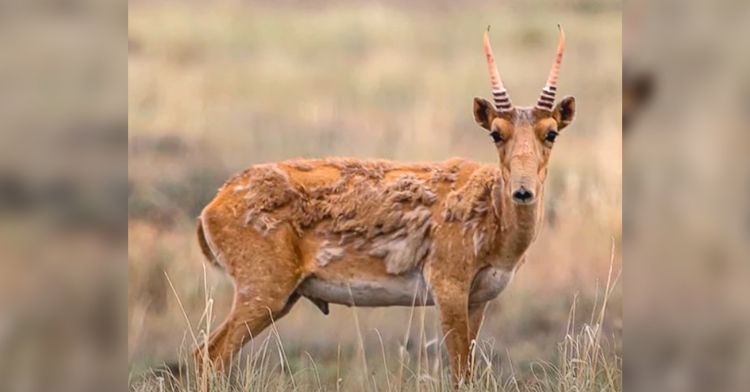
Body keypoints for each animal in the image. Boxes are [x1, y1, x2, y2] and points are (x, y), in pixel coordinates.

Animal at [170, 26, 580, 388]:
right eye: (496, 132)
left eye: (551, 132)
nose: (523, 192)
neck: (493, 220)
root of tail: (211, 207)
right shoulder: (447, 287)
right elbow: (460, 373)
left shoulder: (478, 300)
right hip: (262, 291)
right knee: (208, 354)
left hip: (282, 298)